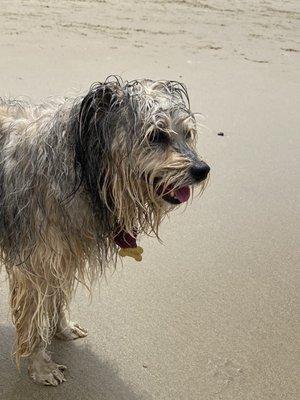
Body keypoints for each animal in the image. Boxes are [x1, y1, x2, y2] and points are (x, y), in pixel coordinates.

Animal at [0, 76, 210, 386]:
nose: (202, 170)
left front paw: (62, 327)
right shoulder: (35, 265)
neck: (83, 166)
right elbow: (34, 316)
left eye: (187, 134)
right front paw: (40, 365)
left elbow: (58, 295)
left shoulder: (64, 252)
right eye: (156, 135)